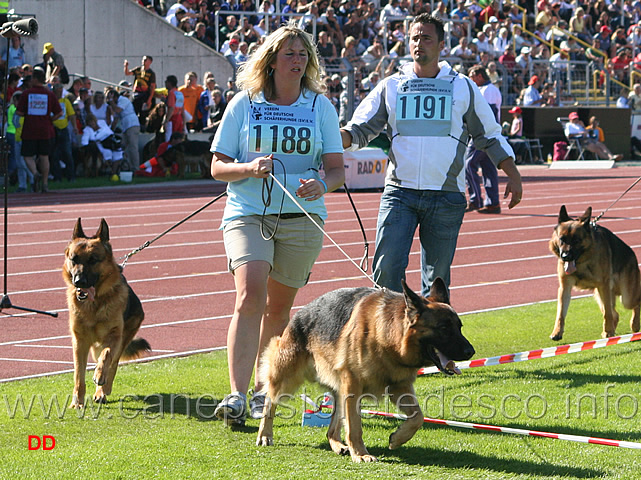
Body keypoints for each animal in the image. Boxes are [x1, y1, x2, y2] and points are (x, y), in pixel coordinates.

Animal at [63, 219, 151, 406]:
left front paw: (100, 377)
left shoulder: (114, 336)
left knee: (113, 363)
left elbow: (106, 357)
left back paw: (103, 389)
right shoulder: (79, 342)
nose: (78, 281)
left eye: (93, 260)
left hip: (122, 339)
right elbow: (78, 374)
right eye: (74, 259)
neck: (94, 305)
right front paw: (77, 401)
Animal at [256, 280, 476, 464]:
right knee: (270, 402)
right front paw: (361, 454)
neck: (386, 335)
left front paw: (397, 438)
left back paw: (338, 445)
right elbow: (355, 426)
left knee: (332, 427)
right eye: (444, 328)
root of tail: (300, 314)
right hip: (286, 380)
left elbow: (418, 417)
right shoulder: (353, 387)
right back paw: (265, 435)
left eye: (459, 326)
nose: (470, 352)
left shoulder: (400, 386)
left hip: (338, 391)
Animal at [548, 206, 636, 342]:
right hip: (600, 295)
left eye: (576, 240)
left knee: (632, 304)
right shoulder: (564, 288)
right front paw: (557, 332)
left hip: (626, 297)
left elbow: (607, 313)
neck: (582, 262)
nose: (565, 257)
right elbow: (560, 314)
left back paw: (634, 324)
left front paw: (608, 331)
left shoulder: (603, 287)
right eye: (562, 239)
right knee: (615, 314)